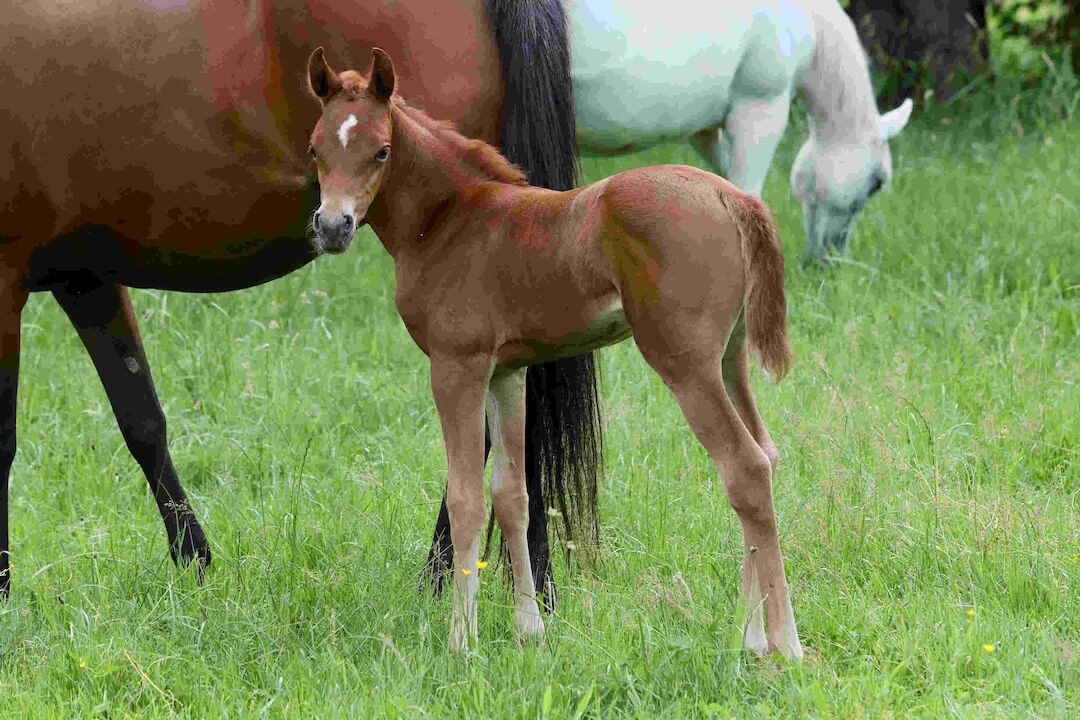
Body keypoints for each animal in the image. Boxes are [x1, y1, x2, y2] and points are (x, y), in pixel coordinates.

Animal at [0, 0, 600, 601]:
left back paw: (447, 576)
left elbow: (4, 441)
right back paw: (526, 578)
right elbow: (142, 420)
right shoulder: (85, 281)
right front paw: (195, 561)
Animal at [307, 47, 803, 658]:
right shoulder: (507, 372)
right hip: (731, 359)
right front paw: (529, 630)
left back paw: (784, 644)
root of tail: (731, 196)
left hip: (685, 364)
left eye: (381, 149)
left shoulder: (457, 367)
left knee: (745, 468)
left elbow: (467, 499)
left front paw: (461, 640)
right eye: (315, 147)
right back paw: (749, 636)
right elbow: (512, 495)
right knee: (767, 455)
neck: (450, 221)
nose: (333, 226)